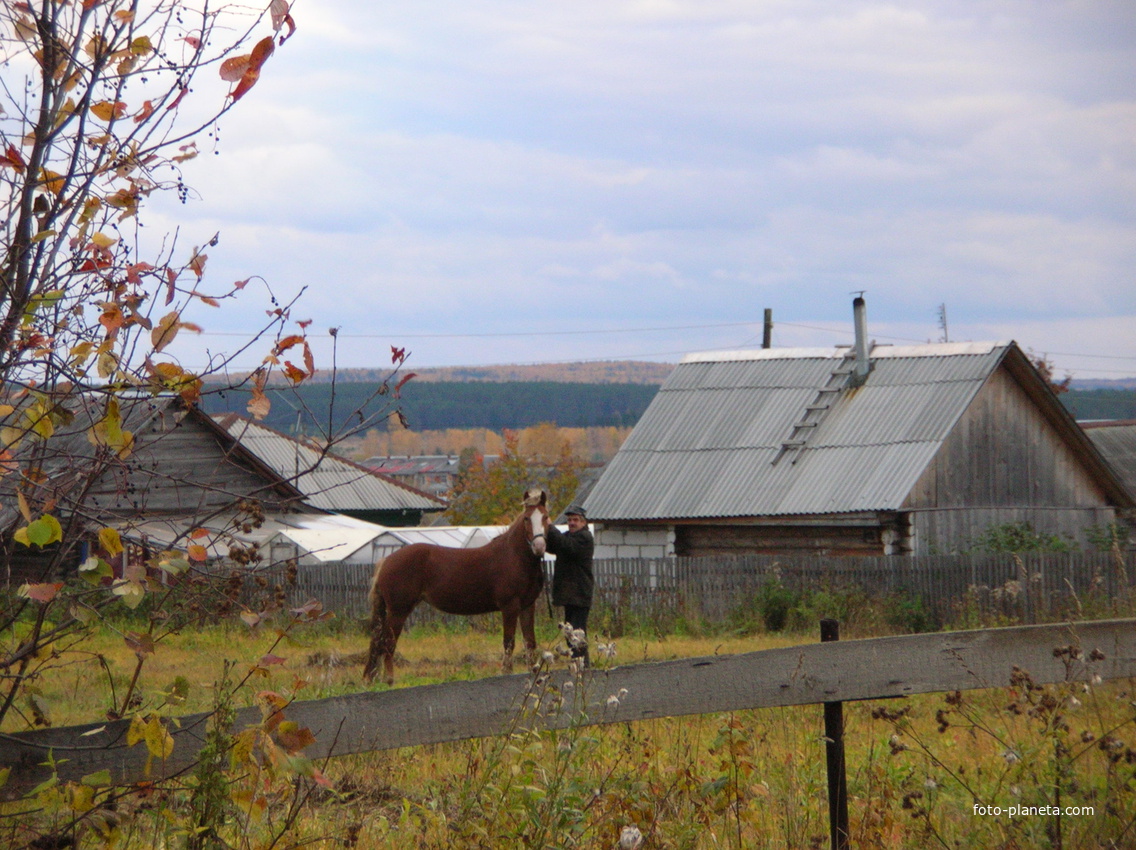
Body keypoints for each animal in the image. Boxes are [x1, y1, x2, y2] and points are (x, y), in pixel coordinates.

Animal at [363, 484, 549, 681]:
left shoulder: (527, 606)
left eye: (545, 516)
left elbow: (530, 642)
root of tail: (386, 561)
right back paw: (389, 680)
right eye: (527, 518)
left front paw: (532, 673)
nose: (539, 547)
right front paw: (506, 672)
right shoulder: (509, 607)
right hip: (398, 611)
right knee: (388, 642)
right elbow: (509, 642)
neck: (513, 556)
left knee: (380, 642)